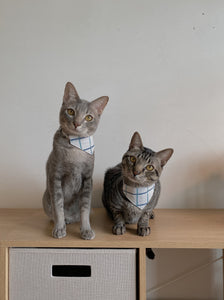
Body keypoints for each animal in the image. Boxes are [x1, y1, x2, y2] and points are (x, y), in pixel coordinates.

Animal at [42, 81, 108, 239]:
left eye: (89, 117)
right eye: (71, 111)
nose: (77, 123)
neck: (75, 148)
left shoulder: (87, 179)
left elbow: (84, 208)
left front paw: (86, 230)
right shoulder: (56, 176)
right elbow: (58, 206)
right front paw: (59, 228)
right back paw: (64, 221)